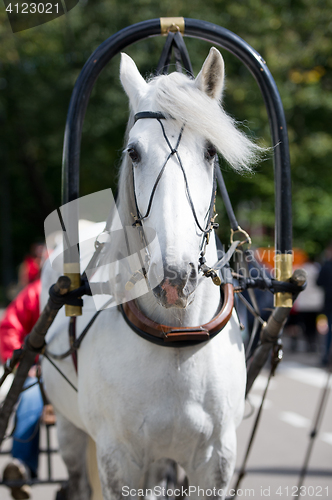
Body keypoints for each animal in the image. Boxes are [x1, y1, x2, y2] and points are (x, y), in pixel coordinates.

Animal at [40, 47, 260, 500]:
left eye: (211, 151)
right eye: (134, 153)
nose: (174, 277)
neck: (175, 332)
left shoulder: (215, 459)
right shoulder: (118, 461)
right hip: (70, 429)